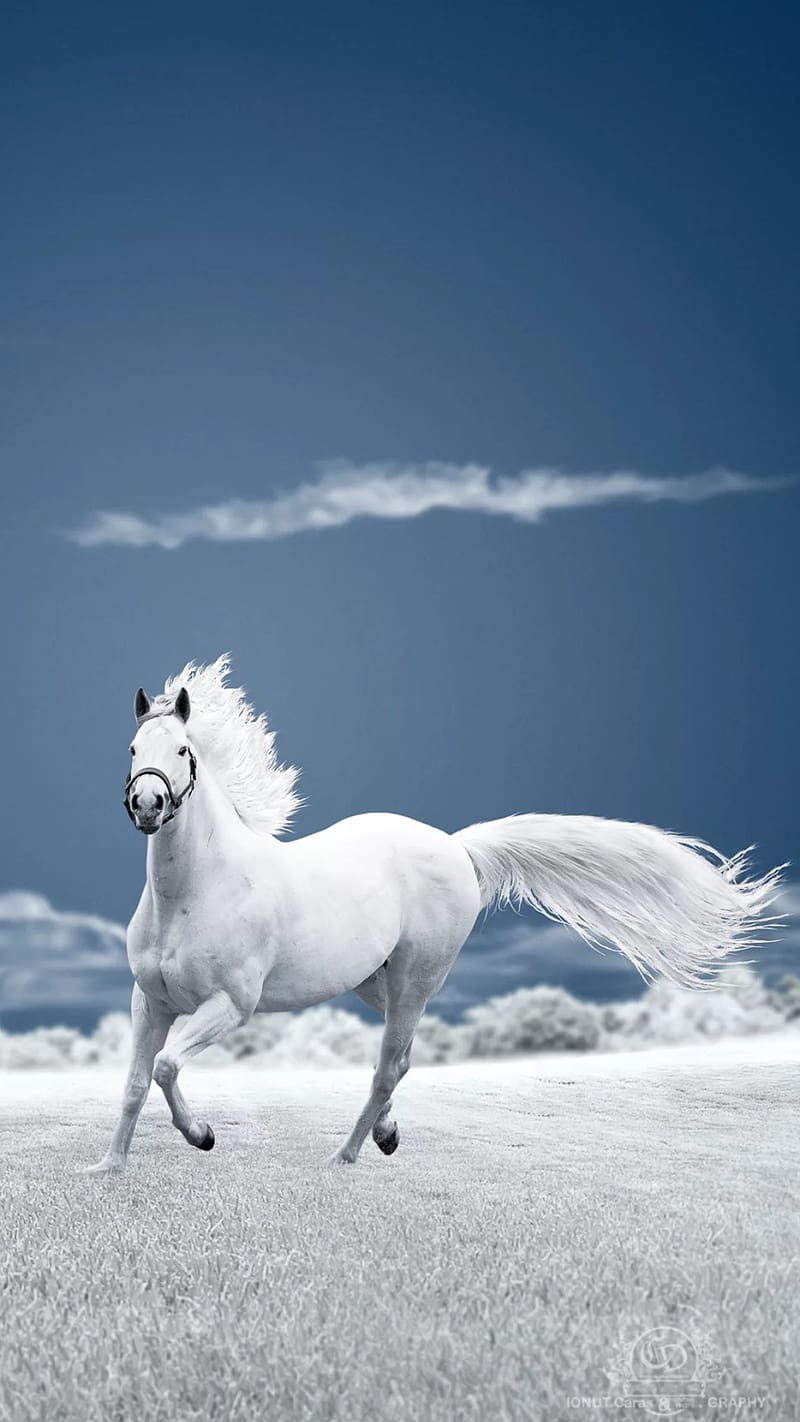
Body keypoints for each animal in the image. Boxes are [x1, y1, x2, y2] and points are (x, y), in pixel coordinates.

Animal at [85, 656, 782, 1172]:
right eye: (132, 748)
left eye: (182, 750)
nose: (147, 805)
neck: (195, 892)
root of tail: (456, 846)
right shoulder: (151, 1002)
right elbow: (135, 1081)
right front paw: (109, 1169)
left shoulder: (231, 1004)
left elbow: (166, 1066)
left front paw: (201, 1135)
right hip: (381, 982)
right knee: (403, 1057)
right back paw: (385, 1135)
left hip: (416, 978)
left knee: (388, 1064)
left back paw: (345, 1157)